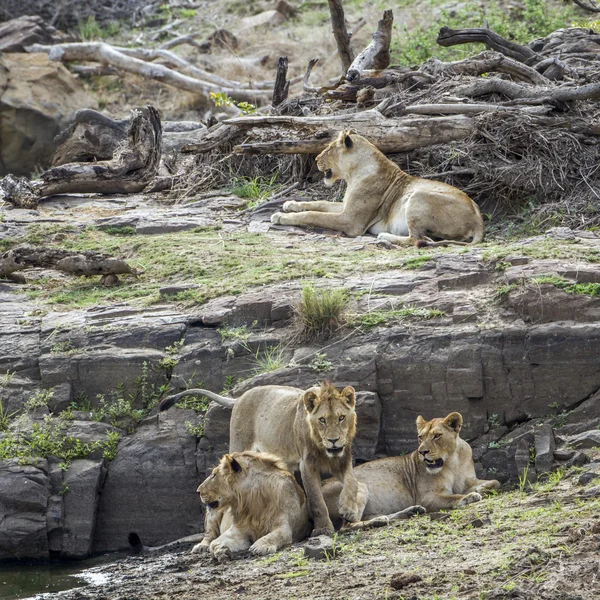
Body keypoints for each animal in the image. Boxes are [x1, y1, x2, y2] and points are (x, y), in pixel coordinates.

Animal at [158, 380, 366, 536]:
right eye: (322, 420)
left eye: (341, 418)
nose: (333, 440)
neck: (325, 450)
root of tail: (241, 396)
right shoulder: (307, 465)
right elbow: (316, 500)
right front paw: (323, 529)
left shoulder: (342, 459)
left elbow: (352, 481)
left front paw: (348, 509)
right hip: (239, 445)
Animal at [270, 130, 482, 247]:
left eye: (329, 148)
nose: (315, 159)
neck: (352, 174)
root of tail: (479, 219)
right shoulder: (346, 207)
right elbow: (319, 203)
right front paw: (289, 204)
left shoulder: (351, 221)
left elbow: (314, 215)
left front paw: (280, 216)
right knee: (426, 239)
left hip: (417, 196)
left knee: (416, 238)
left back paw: (384, 236)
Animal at [322, 412, 500, 528]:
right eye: (421, 437)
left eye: (437, 436)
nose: (422, 452)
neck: (452, 460)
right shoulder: (427, 497)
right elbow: (452, 497)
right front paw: (469, 496)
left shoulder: (469, 480)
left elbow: (495, 482)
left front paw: (482, 489)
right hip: (359, 486)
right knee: (347, 525)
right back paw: (378, 521)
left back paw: (409, 512)